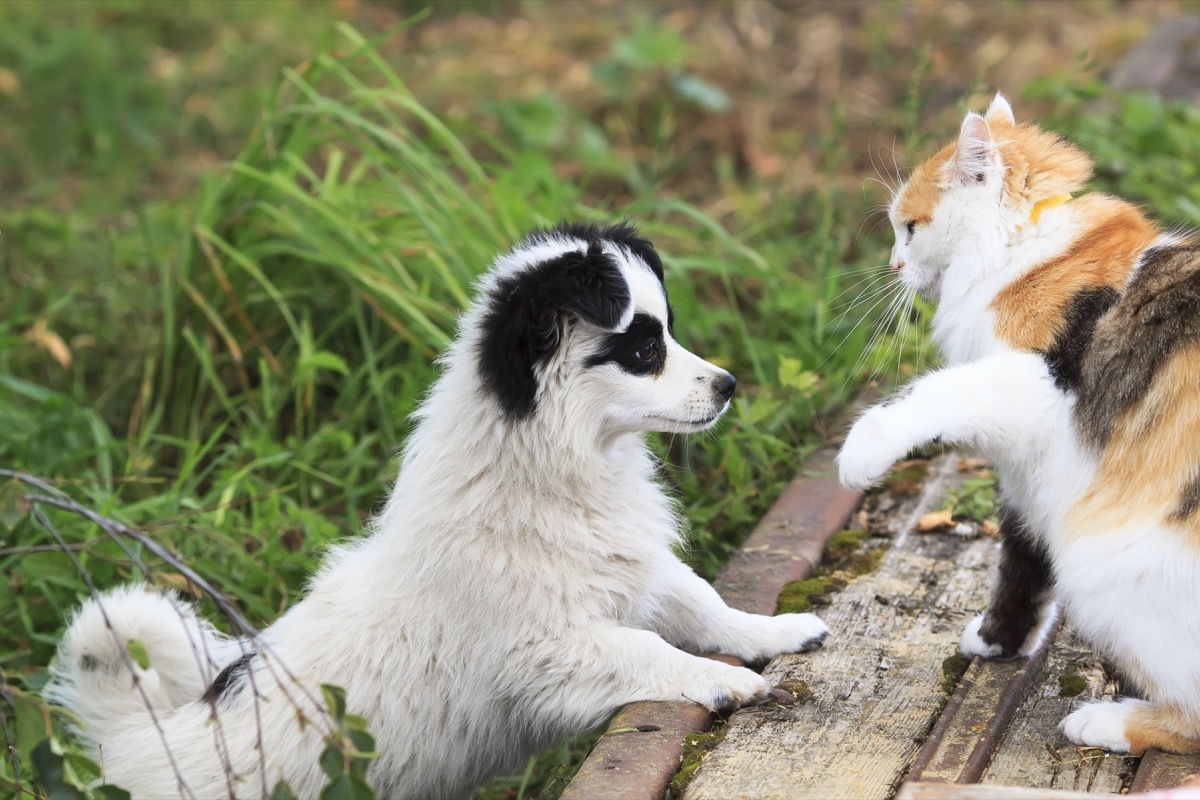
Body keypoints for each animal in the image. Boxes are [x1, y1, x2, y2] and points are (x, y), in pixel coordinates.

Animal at [49, 221, 835, 796]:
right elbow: (648, 650)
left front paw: (773, 631)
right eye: (644, 350)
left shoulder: (635, 570)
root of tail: (130, 738)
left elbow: (703, 601)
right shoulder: (548, 649)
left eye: (666, 333)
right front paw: (727, 681)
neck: (556, 463)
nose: (729, 385)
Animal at [835, 95, 1200, 758]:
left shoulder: (1035, 386)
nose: (894, 264)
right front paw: (999, 639)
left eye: (910, 227)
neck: (1027, 253)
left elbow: (934, 389)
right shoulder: (1027, 475)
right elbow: (1021, 560)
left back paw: (1103, 721)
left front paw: (861, 452)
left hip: (1109, 566)